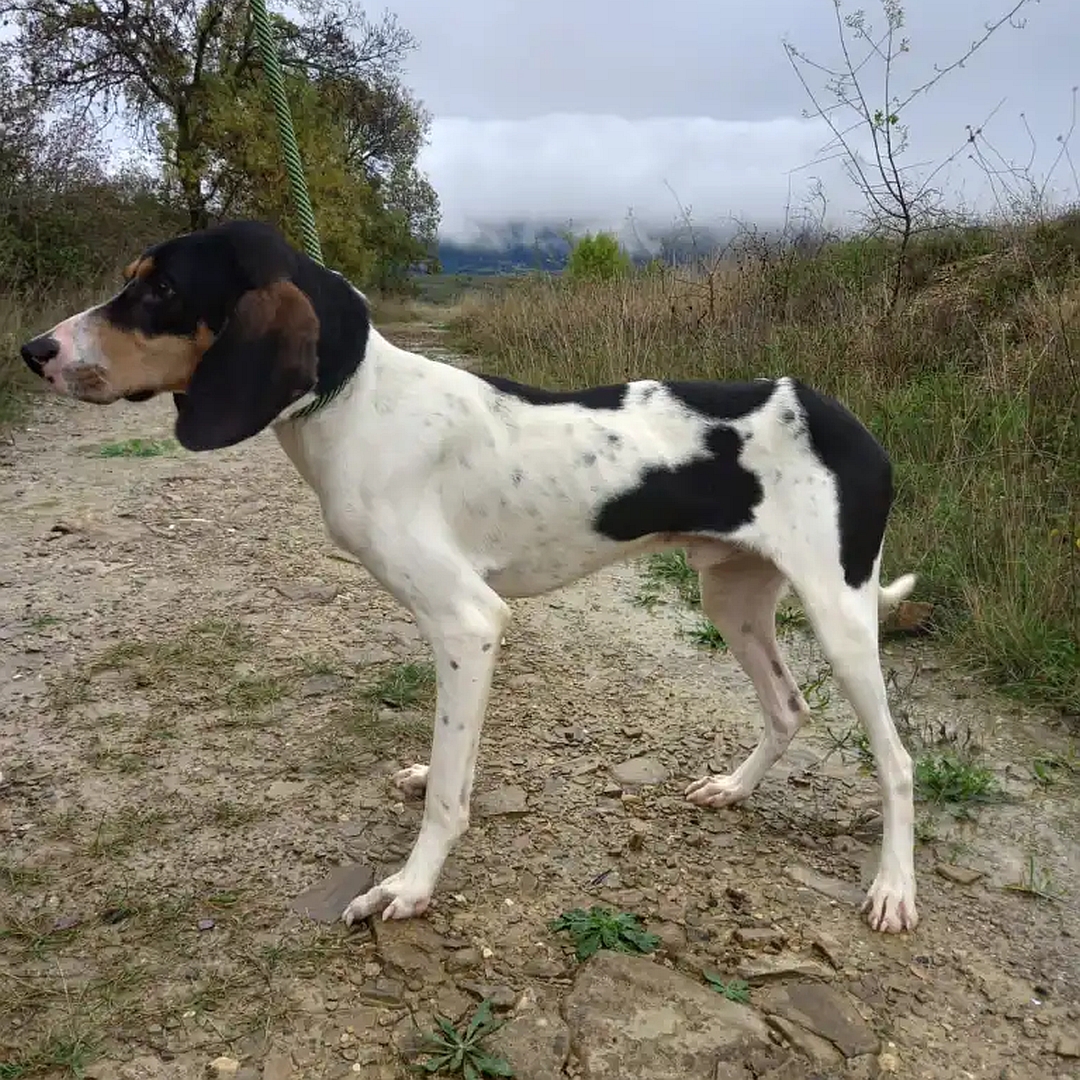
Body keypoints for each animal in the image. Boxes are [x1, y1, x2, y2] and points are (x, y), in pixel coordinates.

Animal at [19, 217, 920, 928]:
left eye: (161, 288)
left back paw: (894, 890)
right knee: (788, 708)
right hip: (732, 596)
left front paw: (410, 887)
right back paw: (733, 789)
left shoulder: (467, 621)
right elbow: (459, 756)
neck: (358, 404)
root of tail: (846, 421)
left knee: (898, 763)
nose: (33, 350)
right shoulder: (470, 637)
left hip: (839, 618)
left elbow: (449, 789)